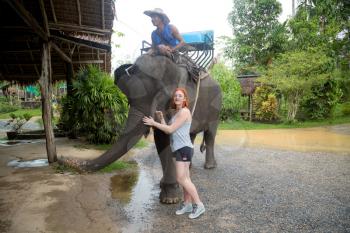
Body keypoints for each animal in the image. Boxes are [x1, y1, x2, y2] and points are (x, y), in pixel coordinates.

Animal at [61, 54, 221, 204]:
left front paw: (169, 199)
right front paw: (167, 191)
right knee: (191, 135)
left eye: (158, 95)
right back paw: (189, 167)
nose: (63, 159)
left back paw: (209, 166)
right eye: (129, 100)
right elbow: (161, 139)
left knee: (210, 134)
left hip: (216, 109)